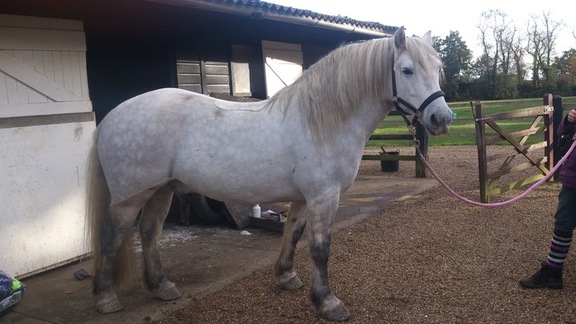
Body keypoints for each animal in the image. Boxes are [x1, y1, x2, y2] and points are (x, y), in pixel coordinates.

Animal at [88, 27, 452, 322]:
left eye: (437, 70)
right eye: (406, 70)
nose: (442, 119)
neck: (322, 120)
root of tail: (112, 117)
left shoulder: (305, 198)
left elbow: (292, 234)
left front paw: (287, 277)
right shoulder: (324, 197)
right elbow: (320, 249)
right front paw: (328, 303)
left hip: (161, 190)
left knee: (149, 231)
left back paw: (161, 286)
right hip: (129, 198)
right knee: (113, 235)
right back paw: (106, 299)